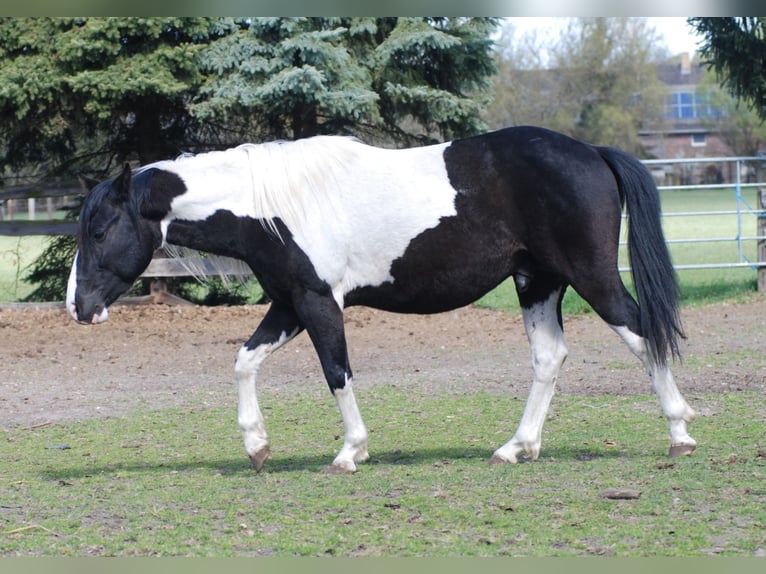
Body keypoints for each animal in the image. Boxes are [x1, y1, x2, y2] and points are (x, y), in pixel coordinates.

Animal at [66, 126, 696, 474]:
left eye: (99, 230)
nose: (78, 307)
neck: (270, 206)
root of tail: (591, 151)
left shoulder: (318, 303)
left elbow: (337, 373)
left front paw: (351, 452)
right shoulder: (289, 305)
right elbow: (244, 362)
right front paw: (257, 446)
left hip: (591, 278)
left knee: (642, 333)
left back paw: (680, 433)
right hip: (536, 283)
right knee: (549, 359)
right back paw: (517, 447)